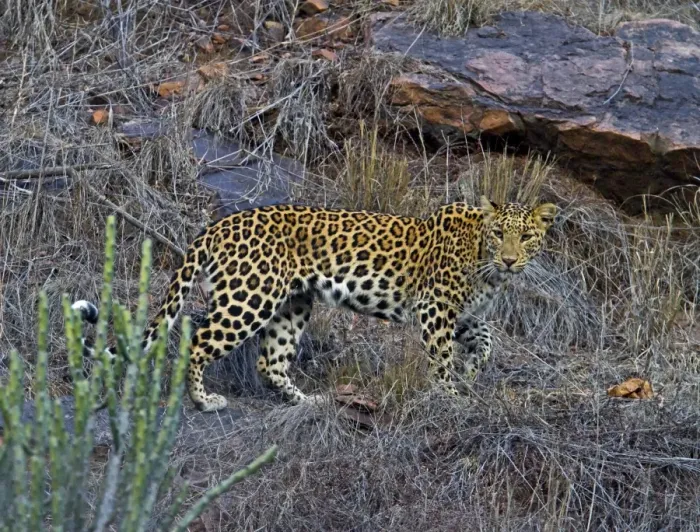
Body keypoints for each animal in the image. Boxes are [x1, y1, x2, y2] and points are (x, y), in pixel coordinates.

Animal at [72, 196, 557, 412]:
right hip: (250, 297)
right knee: (197, 340)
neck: (484, 262)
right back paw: (204, 400)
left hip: (293, 303)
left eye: (526, 237)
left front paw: (473, 370)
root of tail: (216, 226)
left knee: (270, 360)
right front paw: (452, 396)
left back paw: (305, 401)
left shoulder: (462, 314)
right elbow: (440, 359)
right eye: (500, 235)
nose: (510, 258)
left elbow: (487, 338)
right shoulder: (435, 308)